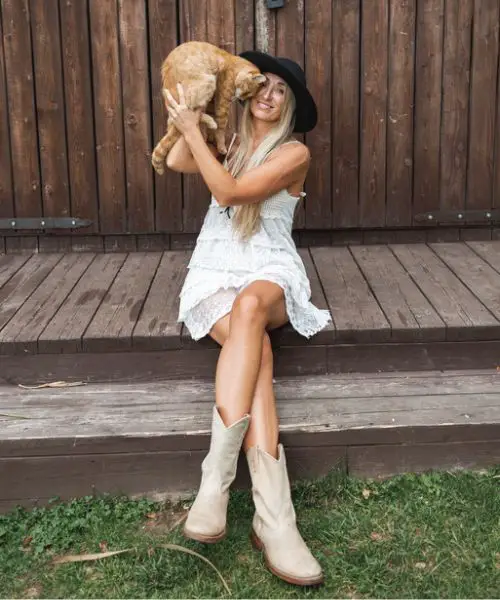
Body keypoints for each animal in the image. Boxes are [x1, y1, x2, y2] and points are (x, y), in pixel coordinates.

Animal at [151, 40, 266, 173]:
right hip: (208, 81)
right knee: (194, 111)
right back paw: (211, 122)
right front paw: (221, 146)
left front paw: (212, 138)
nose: (241, 98)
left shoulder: (213, 99)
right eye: (247, 92)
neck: (234, 64)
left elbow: (212, 115)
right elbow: (221, 125)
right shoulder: (222, 100)